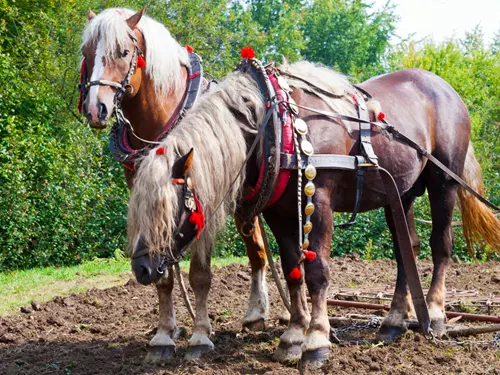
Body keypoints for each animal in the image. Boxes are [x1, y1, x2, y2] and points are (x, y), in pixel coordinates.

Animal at [79, 6, 274, 364]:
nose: (96, 109)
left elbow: (199, 274)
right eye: (87, 53)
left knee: (258, 252)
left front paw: (200, 336)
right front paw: (164, 336)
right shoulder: (149, 199)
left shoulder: (203, 197)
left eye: (123, 52)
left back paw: (258, 312)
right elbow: (165, 276)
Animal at [128, 57, 500, 372]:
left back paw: (435, 314)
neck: (274, 127)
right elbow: (293, 269)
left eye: (166, 210)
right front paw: (293, 336)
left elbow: (317, 271)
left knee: (440, 244)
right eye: (138, 211)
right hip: (401, 193)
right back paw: (394, 321)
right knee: (406, 249)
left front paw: (317, 341)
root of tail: (445, 88)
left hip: (443, 182)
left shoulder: (319, 201)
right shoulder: (278, 213)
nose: (142, 269)